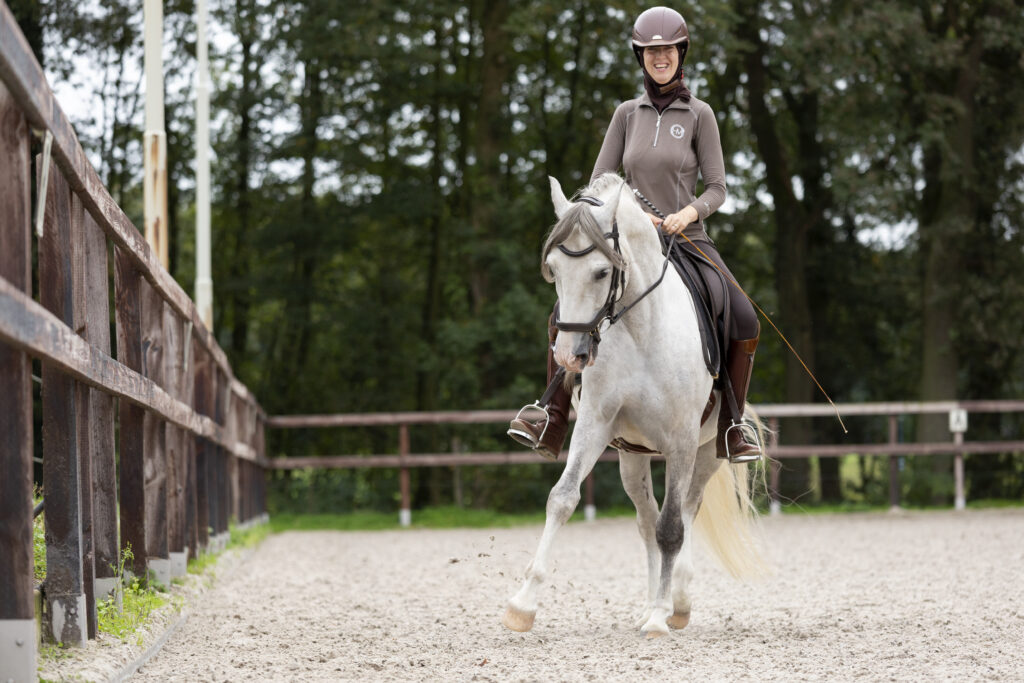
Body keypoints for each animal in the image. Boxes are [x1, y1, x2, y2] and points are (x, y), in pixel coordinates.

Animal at [501, 173, 765, 638]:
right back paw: (650, 604)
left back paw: (676, 603)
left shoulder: (681, 441)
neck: (642, 327)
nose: (569, 356)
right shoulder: (595, 424)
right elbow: (562, 498)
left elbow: (673, 528)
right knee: (646, 520)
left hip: (707, 451)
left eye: (602, 271)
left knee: (686, 511)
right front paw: (523, 605)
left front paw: (660, 617)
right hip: (632, 455)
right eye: (554, 269)